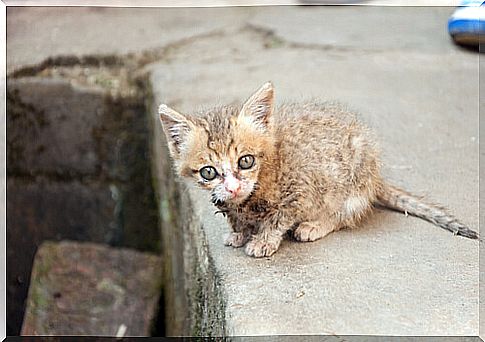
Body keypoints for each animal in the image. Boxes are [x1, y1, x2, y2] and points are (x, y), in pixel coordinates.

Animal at [158, 82, 476, 256]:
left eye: (245, 161)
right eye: (208, 172)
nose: (234, 187)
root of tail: (376, 178)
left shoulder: (299, 191)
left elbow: (279, 218)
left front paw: (263, 240)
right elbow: (236, 217)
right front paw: (239, 232)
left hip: (352, 180)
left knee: (344, 214)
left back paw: (315, 225)